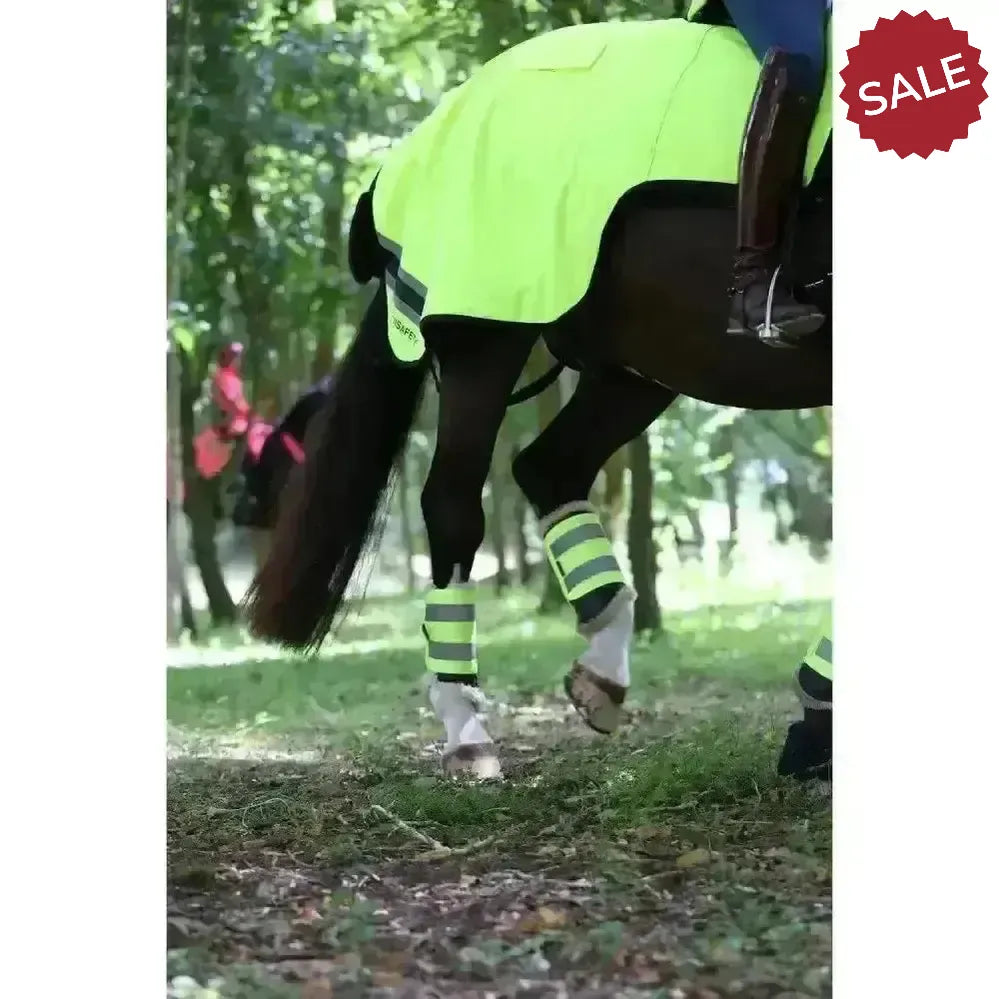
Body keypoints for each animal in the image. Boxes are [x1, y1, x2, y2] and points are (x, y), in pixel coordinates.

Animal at [245, 17, 832, 780]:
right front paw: (815, 720)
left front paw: (815, 720)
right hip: (486, 335)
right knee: (455, 506)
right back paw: (468, 728)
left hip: (640, 362)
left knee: (547, 467)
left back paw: (604, 669)